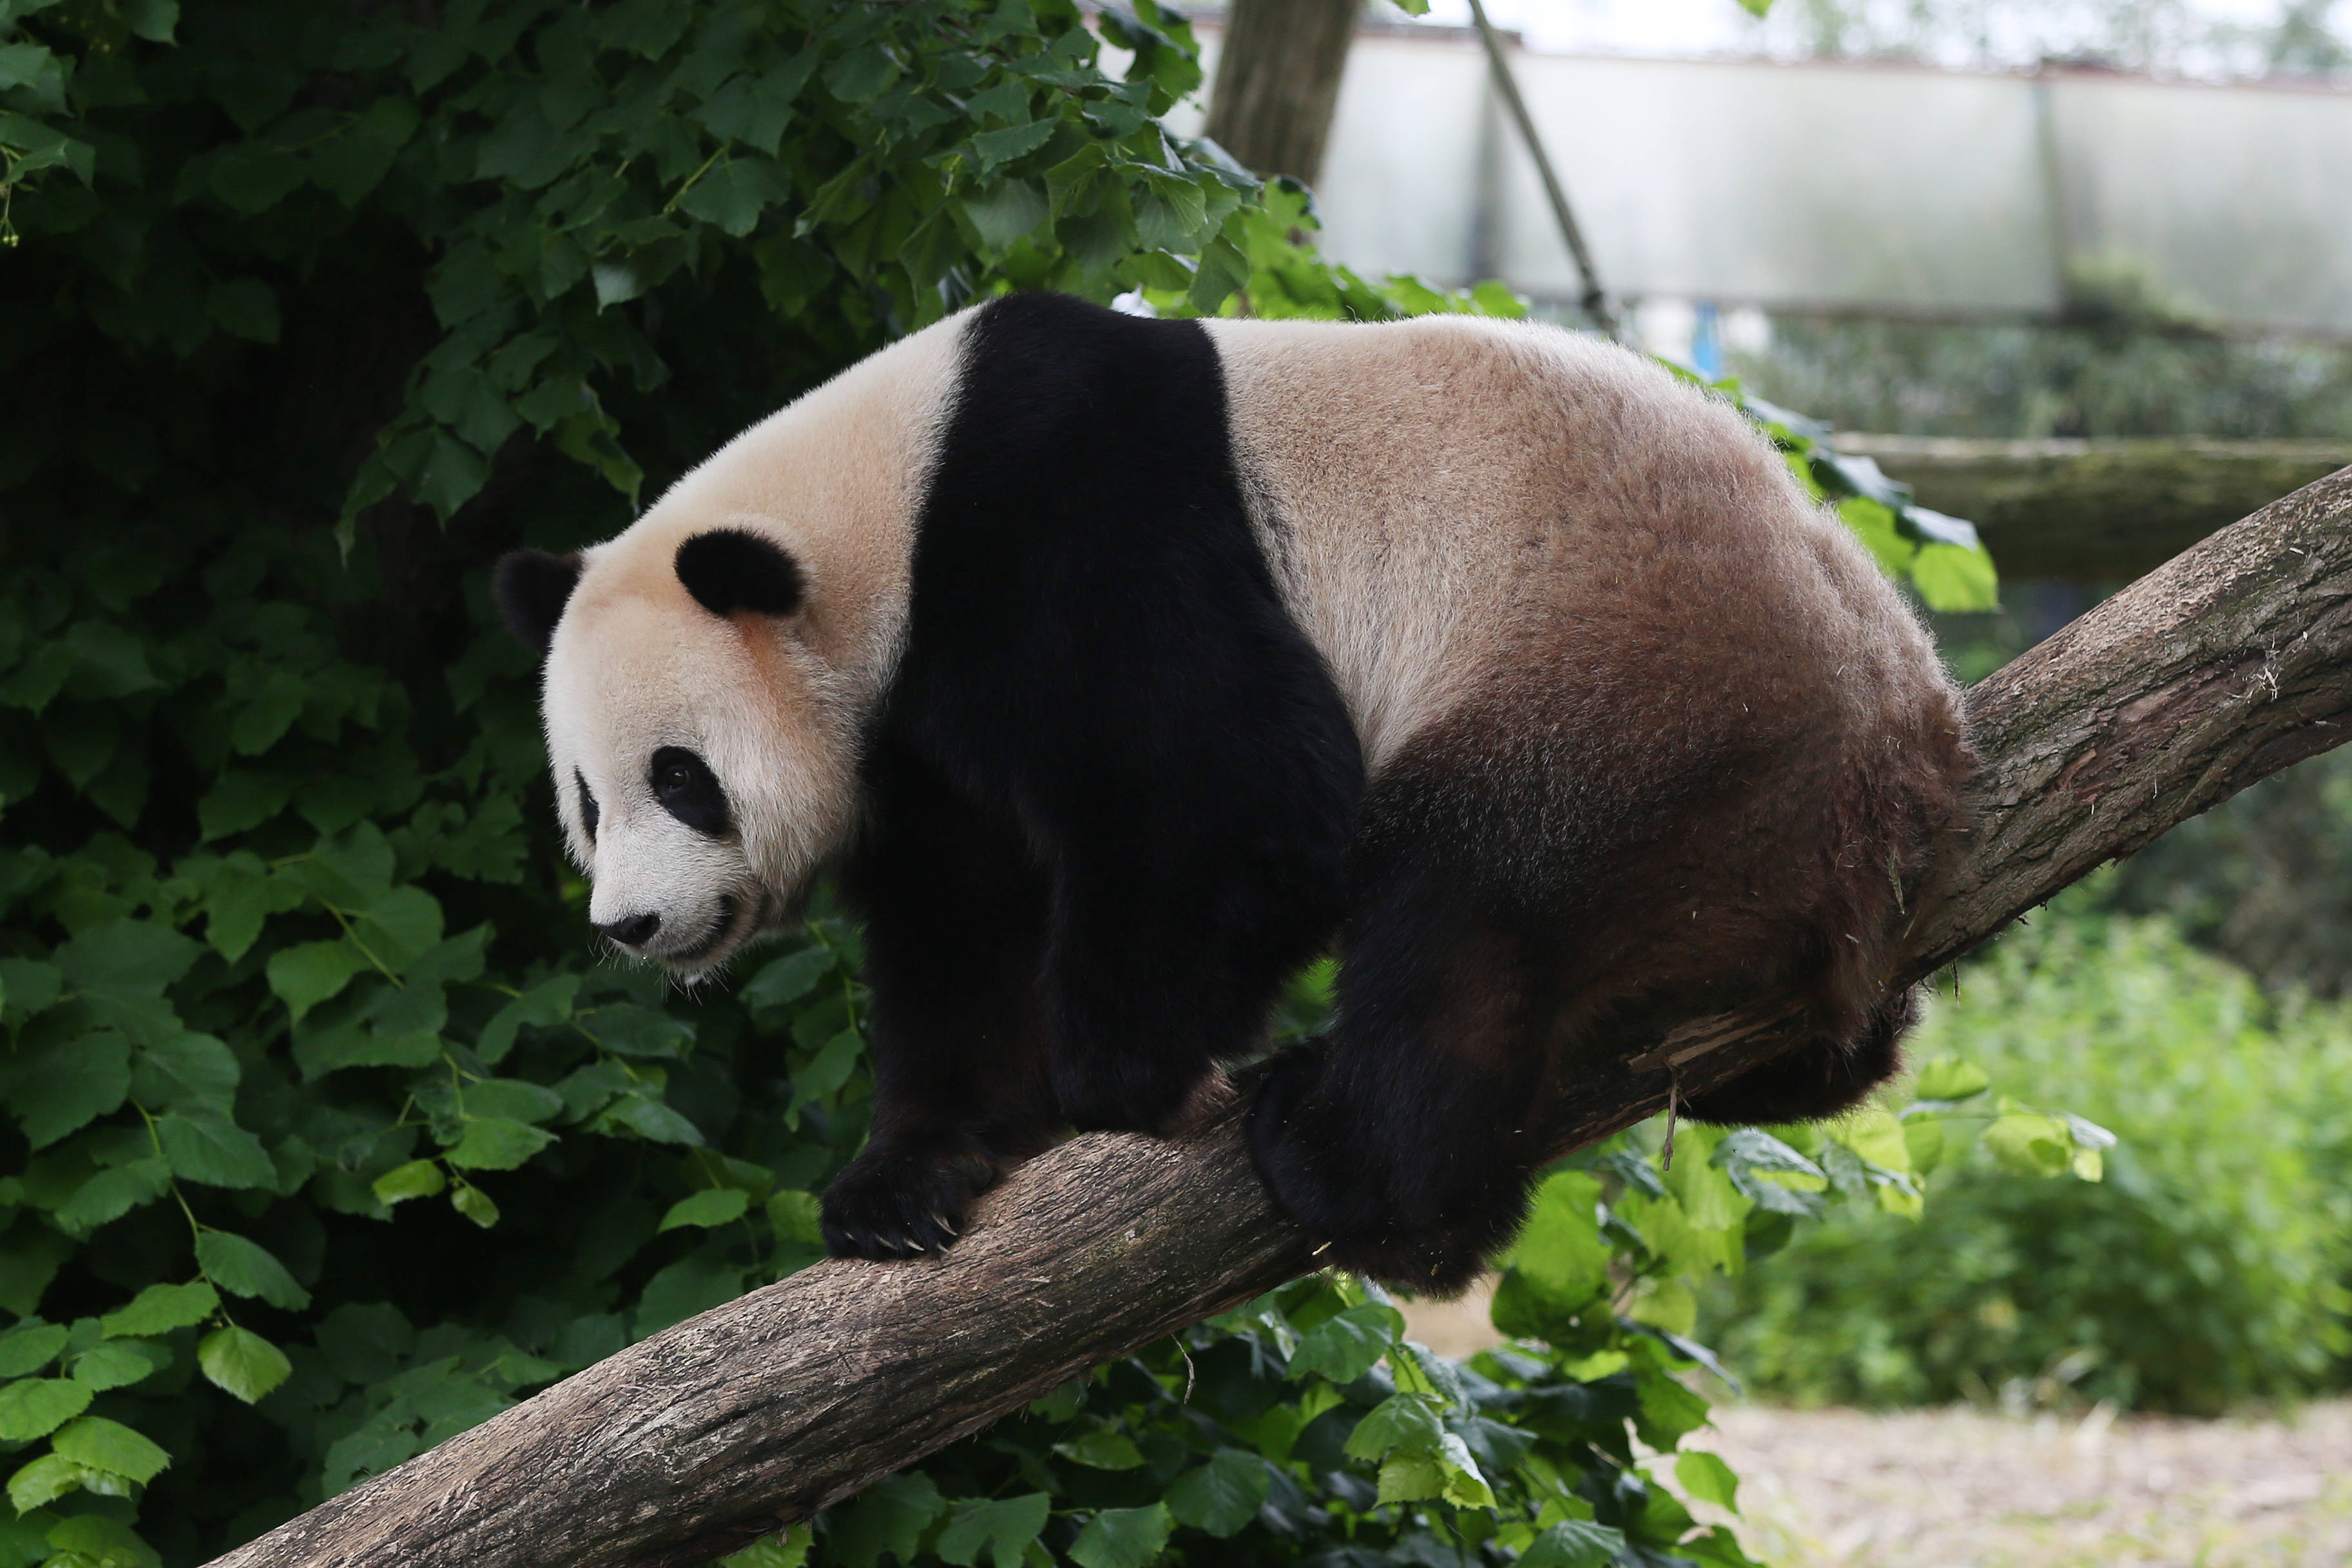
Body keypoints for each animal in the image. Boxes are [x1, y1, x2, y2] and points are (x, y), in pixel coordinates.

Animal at [496, 288, 1966, 1297]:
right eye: (586, 799)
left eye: (679, 778)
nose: (630, 924)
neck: (882, 511)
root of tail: (1890, 766)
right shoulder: (918, 740)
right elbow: (959, 933)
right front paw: (904, 1183)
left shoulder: (1067, 515)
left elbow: (1232, 789)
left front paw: (1116, 1075)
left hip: (1632, 697)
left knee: (1468, 909)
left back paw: (1353, 1165)